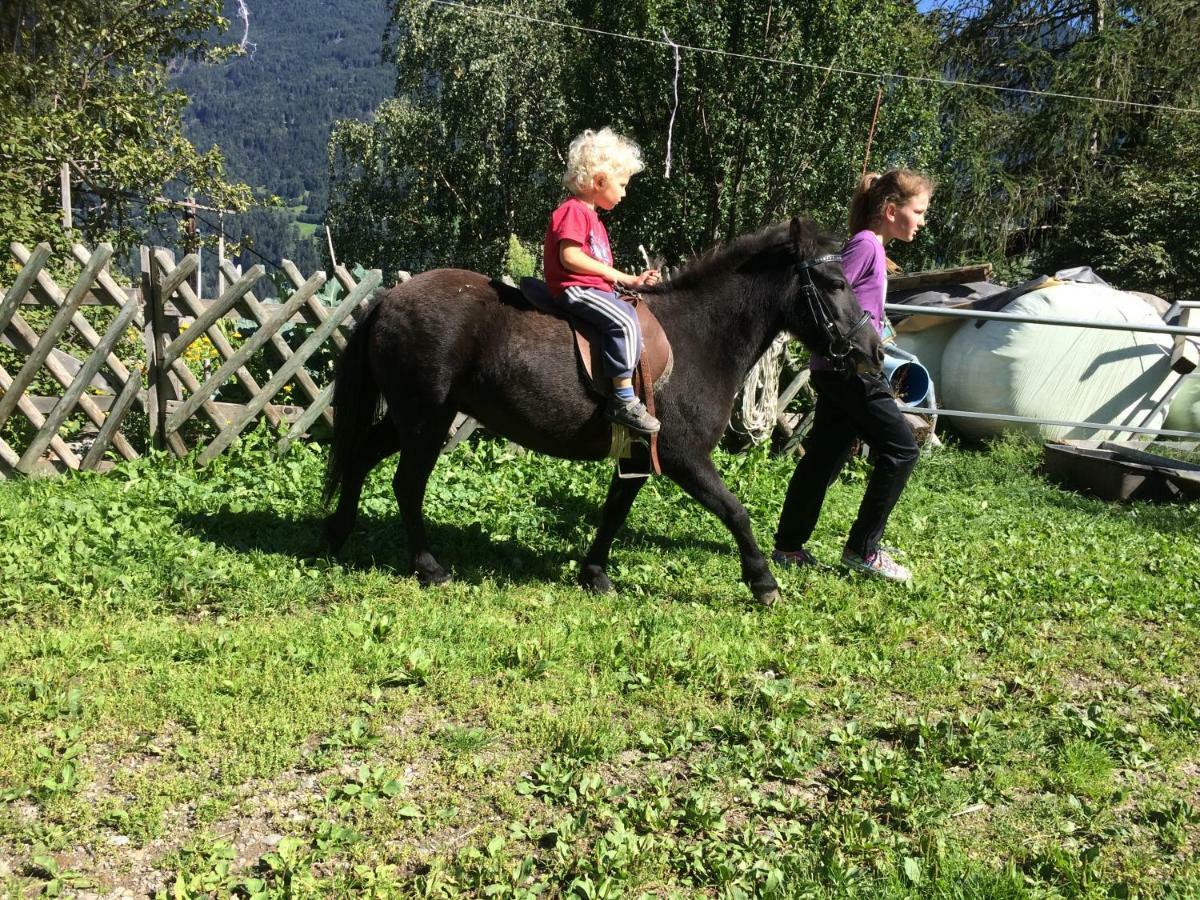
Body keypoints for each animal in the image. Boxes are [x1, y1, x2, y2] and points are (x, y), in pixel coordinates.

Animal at [324, 217, 878, 607]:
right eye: (834, 283)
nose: (871, 351)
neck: (699, 337)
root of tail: (387, 299)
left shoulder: (640, 454)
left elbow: (615, 511)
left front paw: (594, 573)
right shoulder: (684, 457)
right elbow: (735, 511)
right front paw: (762, 581)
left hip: (411, 418)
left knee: (360, 458)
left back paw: (337, 534)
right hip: (426, 419)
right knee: (406, 483)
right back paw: (427, 566)